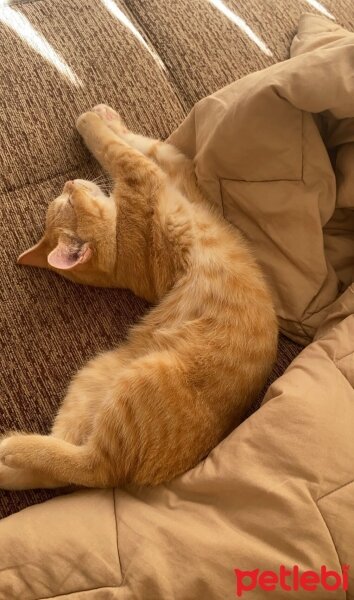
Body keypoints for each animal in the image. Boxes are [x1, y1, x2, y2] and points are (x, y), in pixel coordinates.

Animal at [0, 104, 278, 488]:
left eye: (64, 198)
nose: (69, 183)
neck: (121, 249)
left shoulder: (172, 168)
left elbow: (143, 143)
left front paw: (106, 117)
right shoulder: (144, 174)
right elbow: (116, 148)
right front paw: (91, 122)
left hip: (94, 377)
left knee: (60, 469)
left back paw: (10, 453)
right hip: (136, 381)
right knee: (90, 466)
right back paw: (14, 448)